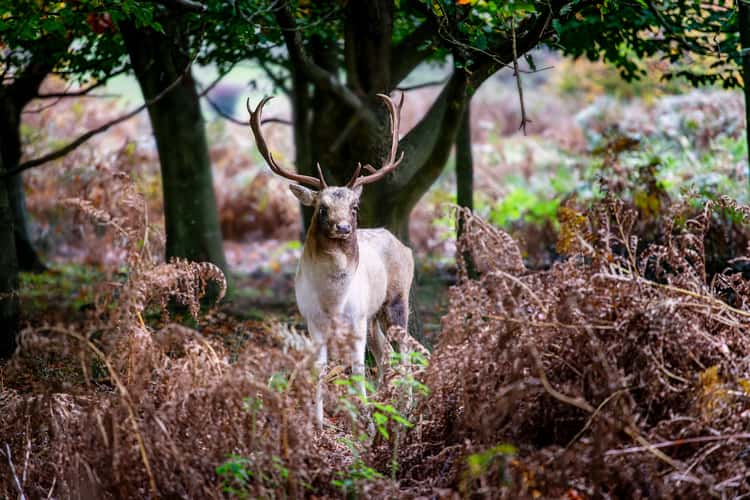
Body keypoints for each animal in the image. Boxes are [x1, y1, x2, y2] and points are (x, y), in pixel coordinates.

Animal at [247, 94, 416, 426]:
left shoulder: (356, 320)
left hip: (397, 300)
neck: (333, 301)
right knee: (385, 352)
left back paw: (404, 406)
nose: (343, 228)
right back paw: (384, 402)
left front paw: (363, 420)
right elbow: (320, 370)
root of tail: (404, 246)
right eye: (322, 208)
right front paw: (319, 422)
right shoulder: (313, 321)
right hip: (374, 315)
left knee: (402, 350)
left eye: (354, 206)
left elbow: (357, 369)